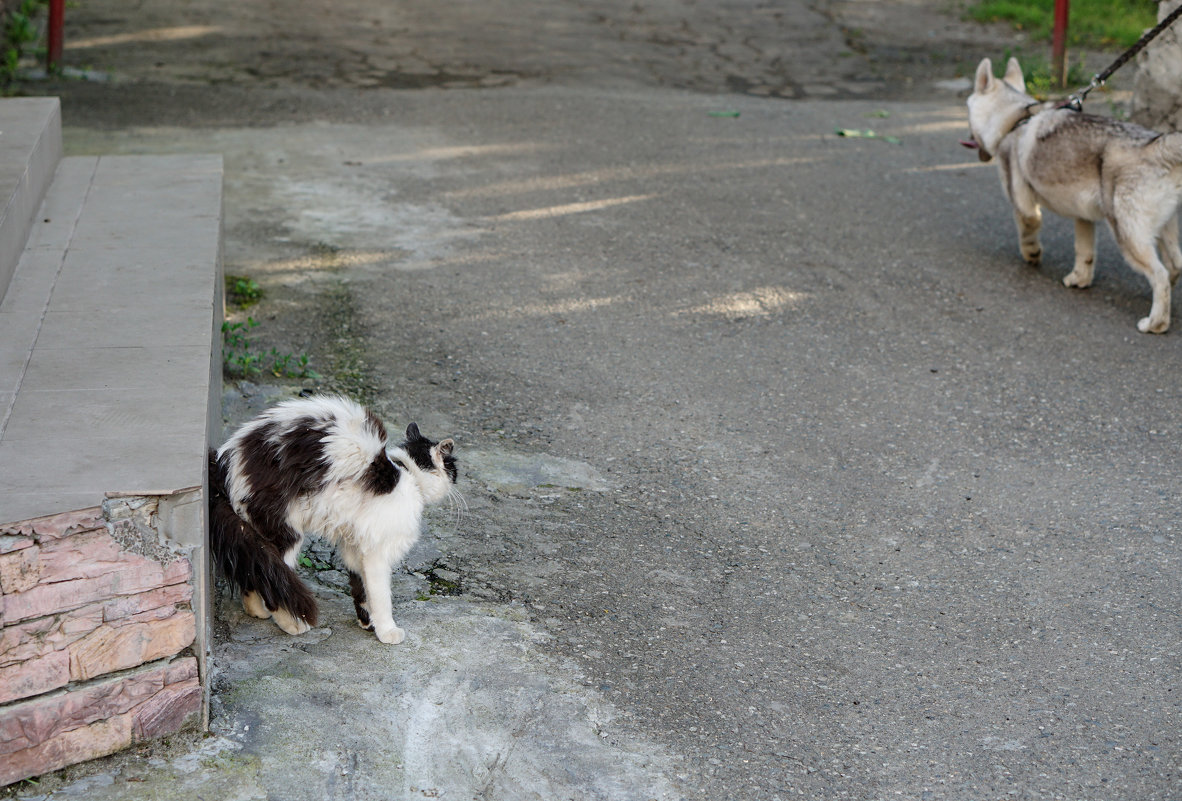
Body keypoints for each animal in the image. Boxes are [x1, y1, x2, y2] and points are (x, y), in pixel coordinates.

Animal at [209, 394, 456, 647]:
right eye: (452, 466)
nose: (455, 477)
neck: (408, 474)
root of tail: (226, 461)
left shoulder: (355, 545)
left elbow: (361, 588)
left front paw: (367, 623)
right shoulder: (377, 552)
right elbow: (380, 595)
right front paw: (387, 630)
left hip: (251, 529)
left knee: (253, 568)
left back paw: (256, 611)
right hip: (284, 531)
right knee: (273, 578)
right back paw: (292, 624)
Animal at [964, 57, 1182, 333]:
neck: (1015, 118)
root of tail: (1155, 143)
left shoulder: (1024, 206)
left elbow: (1027, 234)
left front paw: (1032, 254)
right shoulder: (1084, 216)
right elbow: (1084, 251)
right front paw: (1079, 279)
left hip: (1127, 235)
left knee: (1160, 275)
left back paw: (1155, 323)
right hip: (1164, 230)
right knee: (1174, 266)